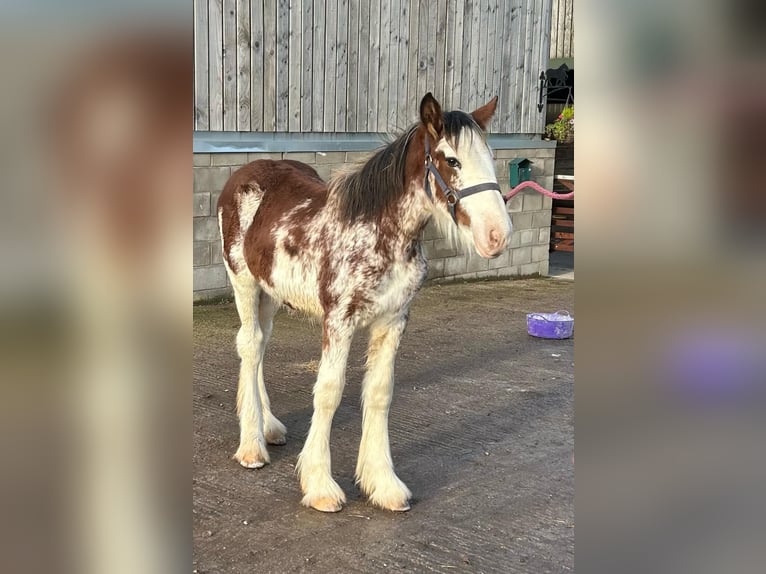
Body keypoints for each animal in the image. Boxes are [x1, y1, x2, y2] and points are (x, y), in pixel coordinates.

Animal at [219, 93, 512, 512]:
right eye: (451, 160)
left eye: (489, 156)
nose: (497, 235)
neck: (379, 232)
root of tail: (244, 175)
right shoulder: (338, 320)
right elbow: (329, 392)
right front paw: (320, 486)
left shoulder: (393, 321)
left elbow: (379, 392)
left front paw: (383, 484)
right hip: (243, 282)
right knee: (249, 344)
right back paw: (251, 446)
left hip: (270, 294)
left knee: (259, 347)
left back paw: (268, 427)